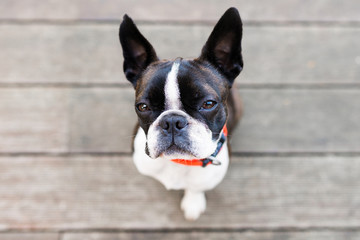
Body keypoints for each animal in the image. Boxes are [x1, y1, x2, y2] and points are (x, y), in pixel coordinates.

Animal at [119, 7, 243, 221]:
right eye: (143, 107)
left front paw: (193, 202)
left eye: (208, 104)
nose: (172, 121)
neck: (178, 162)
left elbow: (196, 188)